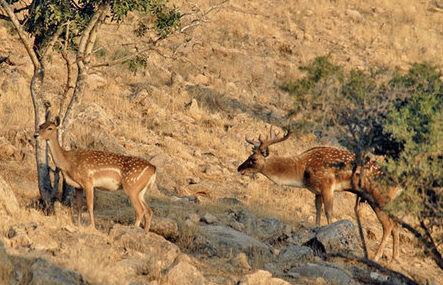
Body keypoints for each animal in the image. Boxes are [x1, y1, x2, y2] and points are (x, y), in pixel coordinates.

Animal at [239, 126, 402, 260]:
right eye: (248, 155)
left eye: (253, 159)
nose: (239, 168)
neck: (302, 171)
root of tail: (399, 186)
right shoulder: (316, 191)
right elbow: (317, 209)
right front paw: (316, 230)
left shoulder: (327, 185)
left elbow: (328, 212)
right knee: (395, 224)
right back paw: (394, 257)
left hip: (379, 198)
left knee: (388, 224)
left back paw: (376, 257)